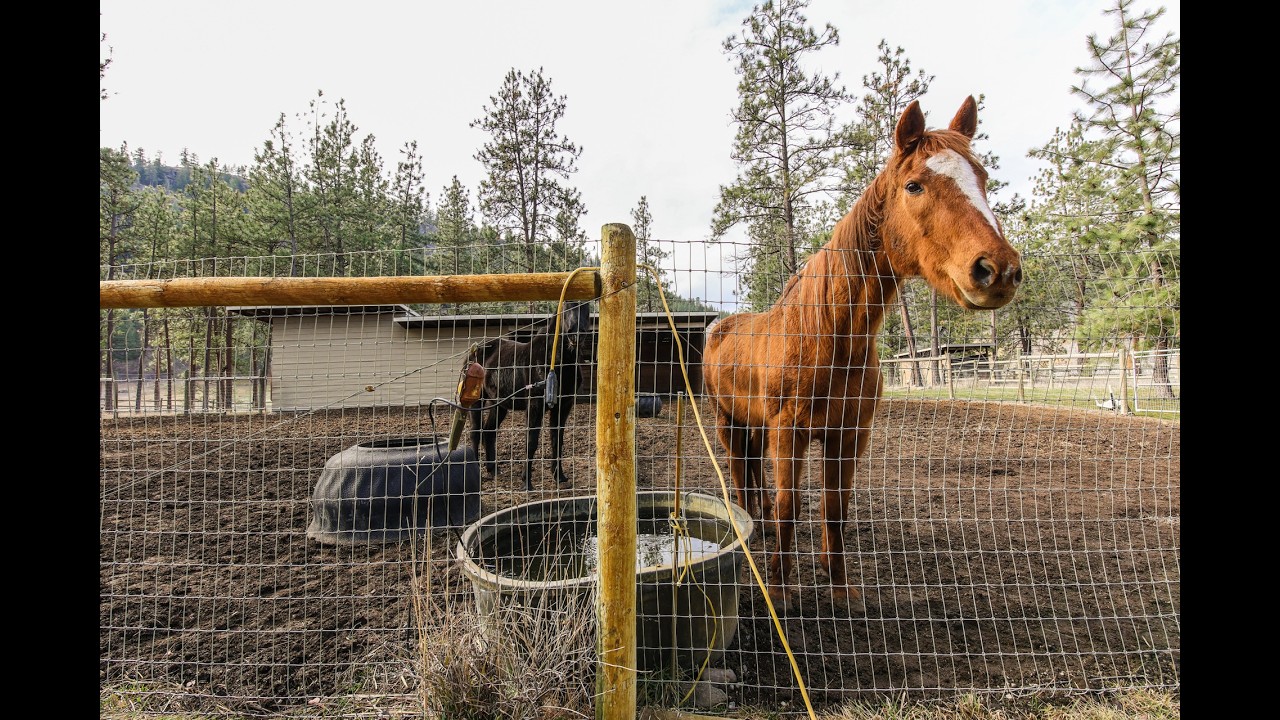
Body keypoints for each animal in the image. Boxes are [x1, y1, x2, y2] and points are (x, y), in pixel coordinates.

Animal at [467, 301, 593, 491]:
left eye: (587, 309)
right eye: (565, 309)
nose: (575, 334)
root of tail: (475, 352)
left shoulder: (563, 406)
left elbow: (557, 440)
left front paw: (559, 477)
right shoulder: (535, 405)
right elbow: (531, 440)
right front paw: (526, 482)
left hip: (499, 405)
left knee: (489, 432)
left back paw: (493, 470)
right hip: (477, 402)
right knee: (475, 432)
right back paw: (479, 474)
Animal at [701, 96, 1023, 613]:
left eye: (983, 179)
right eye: (914, 185)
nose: (998, 270)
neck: (828, 339)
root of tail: (719, 329)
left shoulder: (849, 435)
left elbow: (835, 508)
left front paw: (839, 587)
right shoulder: (788, 433)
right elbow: (791, 506)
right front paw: (781, 588)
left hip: (754, 427)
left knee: (755, 482)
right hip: (727, 422)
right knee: (740, 476)